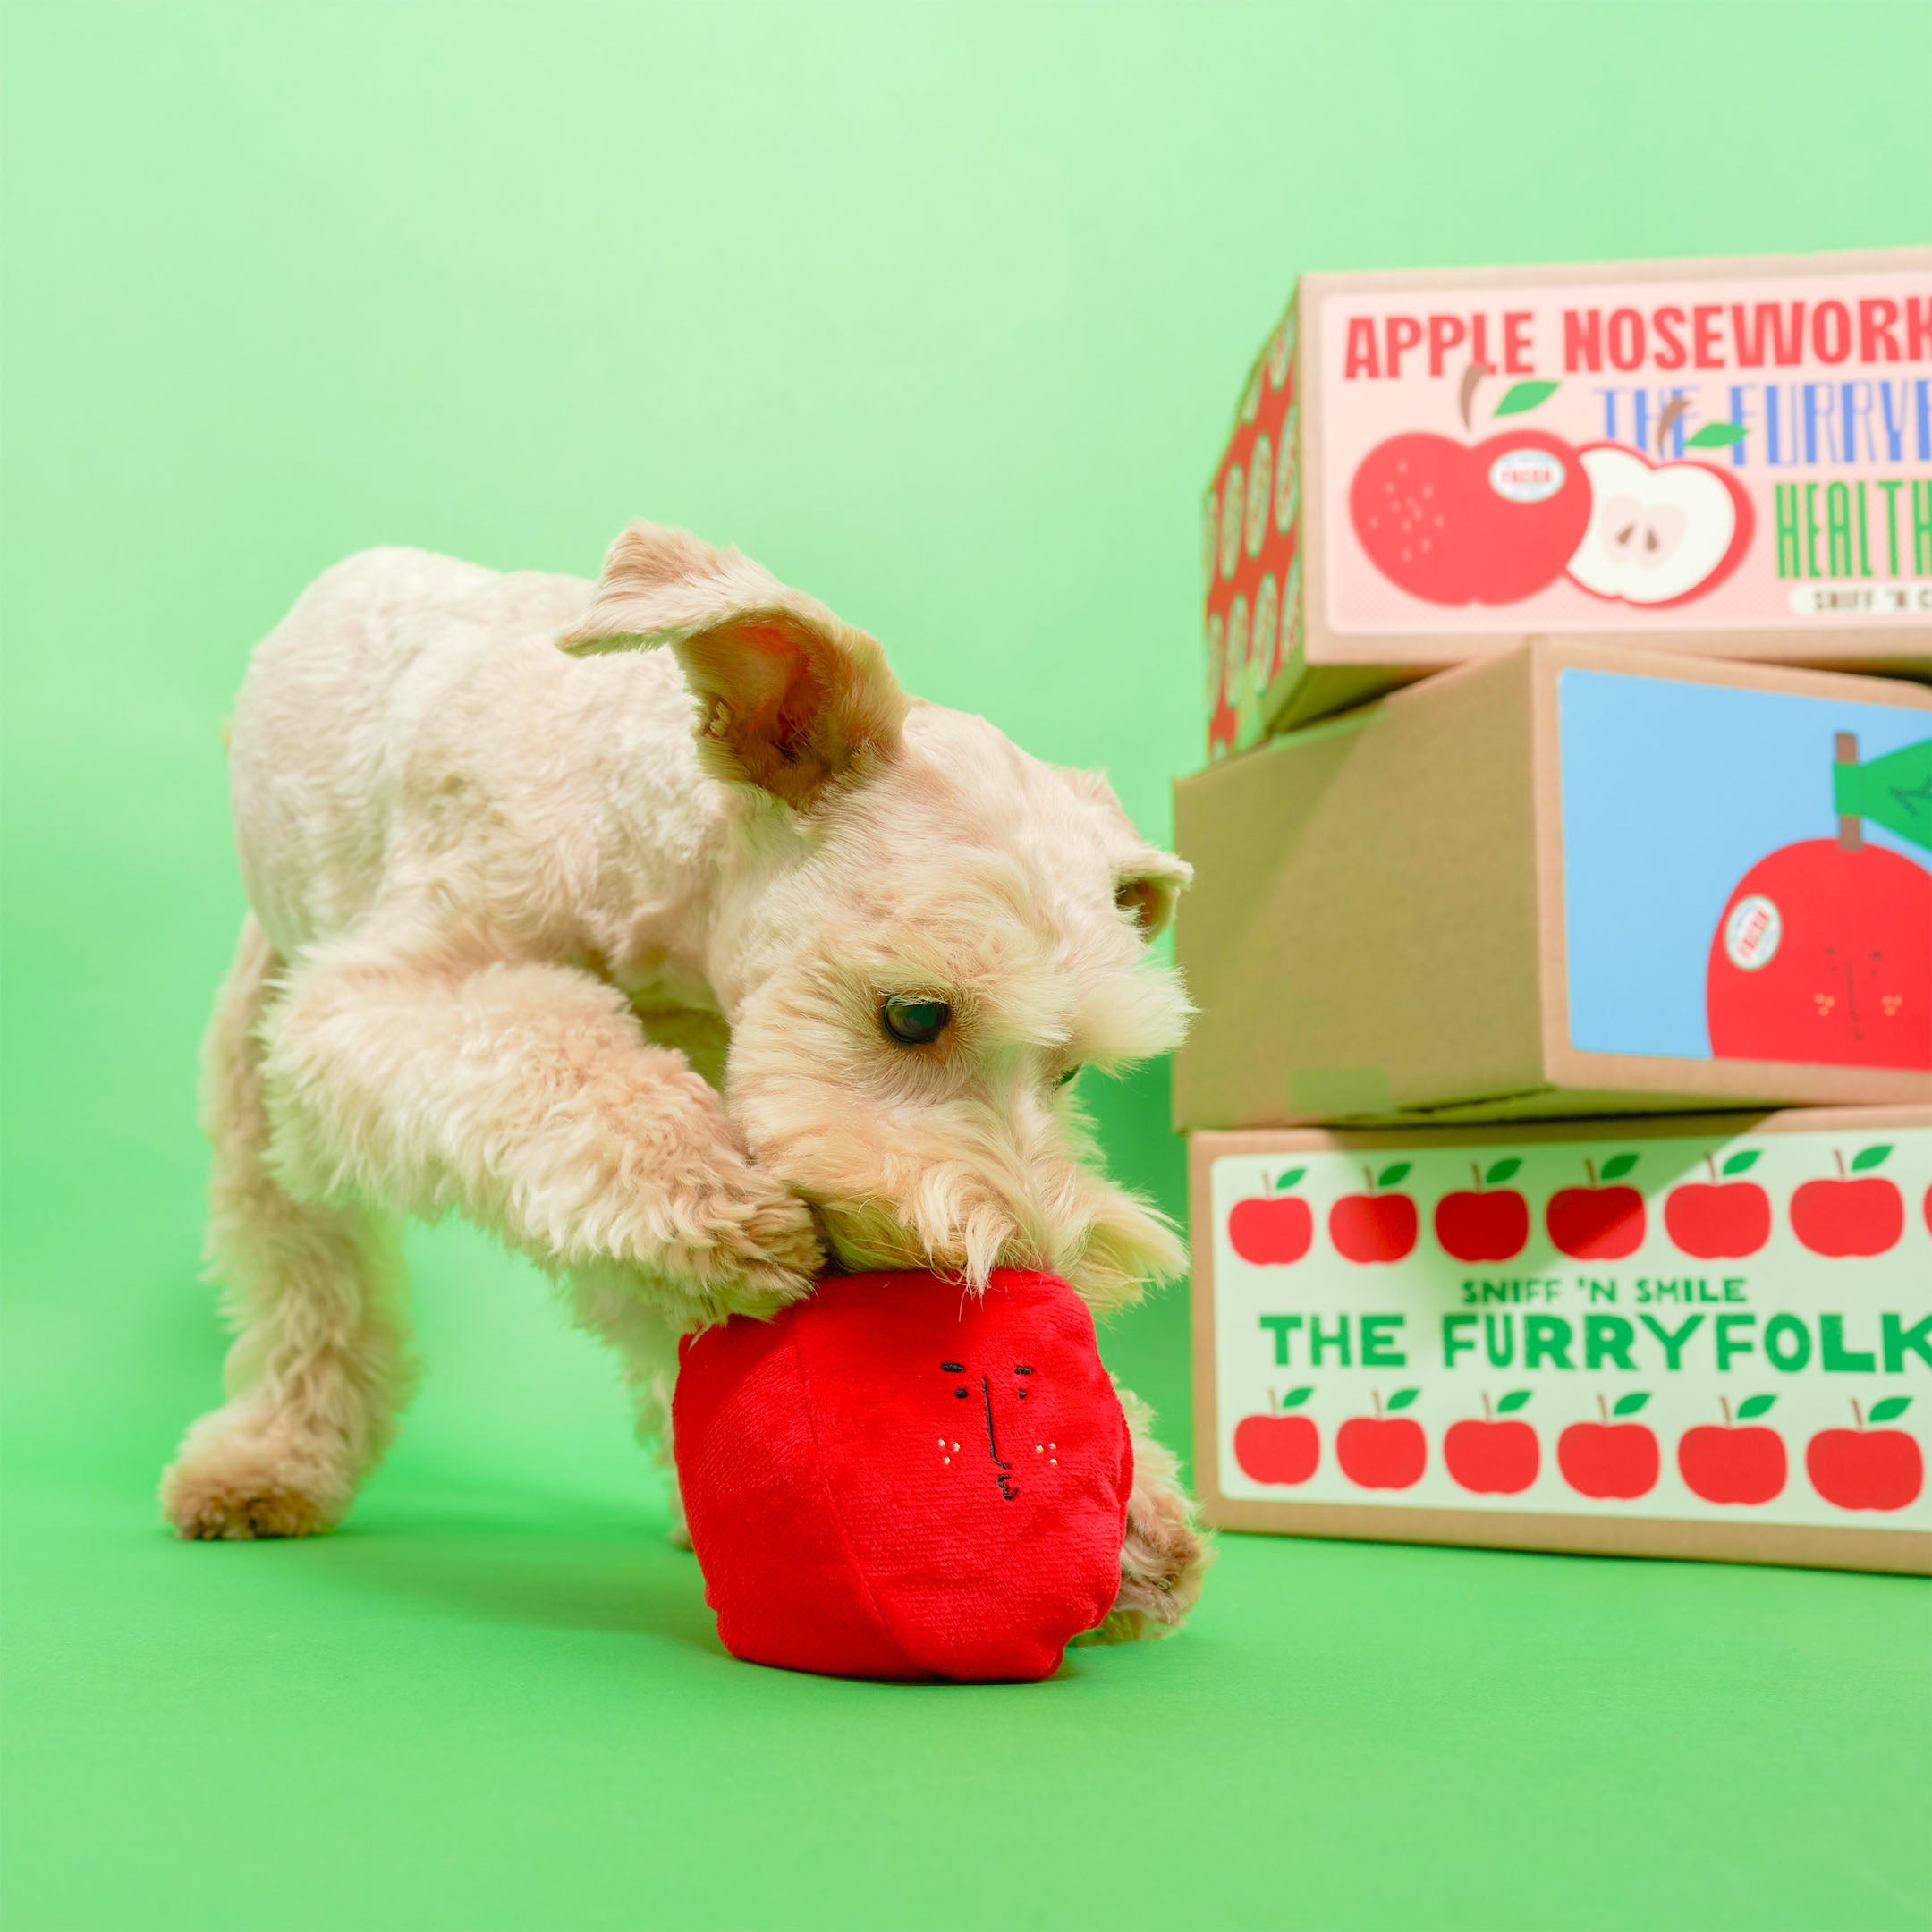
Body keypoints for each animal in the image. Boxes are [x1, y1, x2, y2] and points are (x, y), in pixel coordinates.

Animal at [174, 529, 1213, 1646]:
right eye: (913, 1014)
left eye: (1070, 1070)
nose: (1032, 1278)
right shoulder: (386, 1001)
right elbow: (566, 1068)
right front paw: (721, 1209)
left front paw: (1135, 1513)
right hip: (262, 1050)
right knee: (305, 1276)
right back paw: (273, 1459)